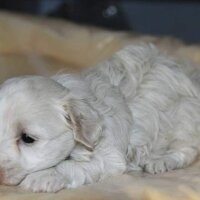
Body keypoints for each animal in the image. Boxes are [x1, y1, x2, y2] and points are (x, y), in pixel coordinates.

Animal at [0, 45, 200, 192]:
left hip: (185, 118)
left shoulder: (109, 156)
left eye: (28, 138)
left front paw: (42, 177)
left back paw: (160, 162)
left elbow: (69, 166)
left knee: (186, 149)